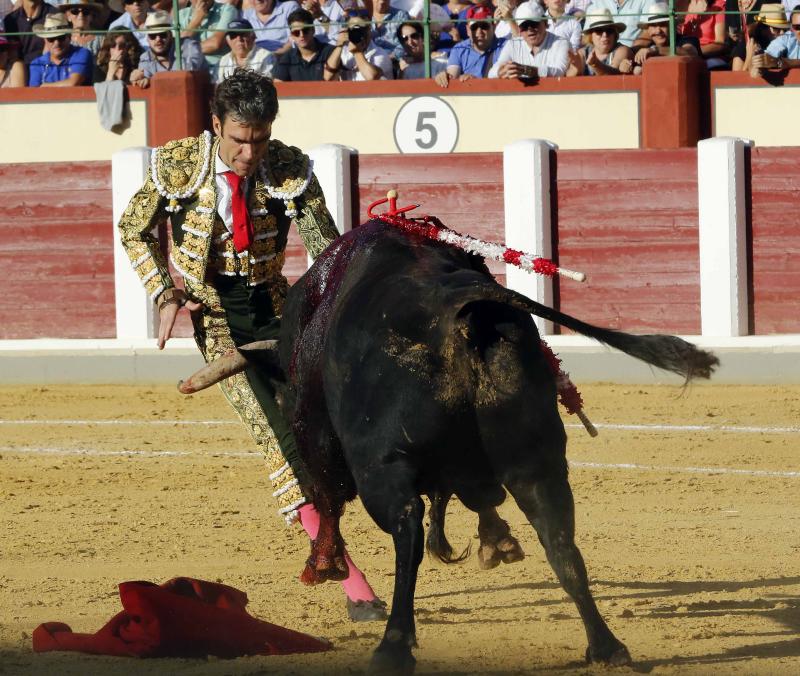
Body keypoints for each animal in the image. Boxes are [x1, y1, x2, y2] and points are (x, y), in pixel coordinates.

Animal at [183, 219, 720, 672]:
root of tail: (463, 313)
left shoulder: (322, 438)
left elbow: (329, 497)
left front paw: (324, 564)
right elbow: (478, 497)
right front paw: (497, 540)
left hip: (383, 468)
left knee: (407, 530)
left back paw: (394, 646)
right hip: (539, 460)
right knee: (560, 540)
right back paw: (606, 647)